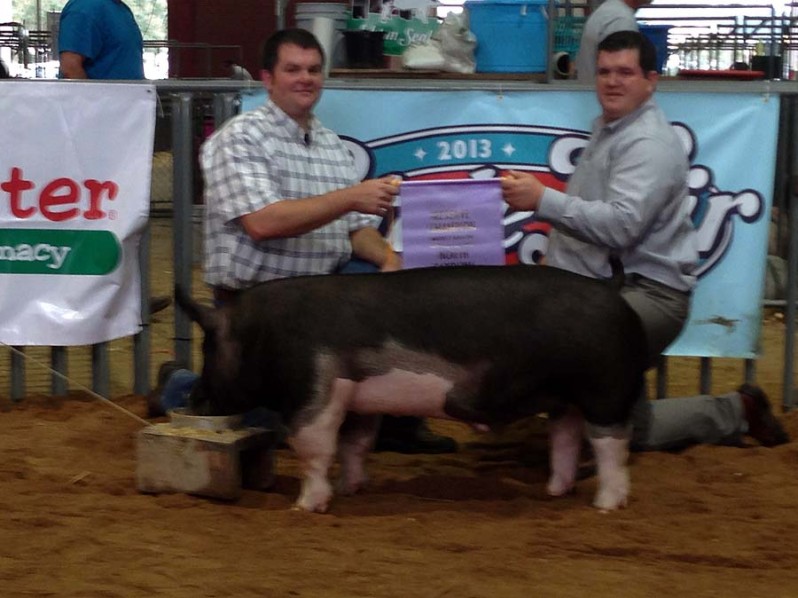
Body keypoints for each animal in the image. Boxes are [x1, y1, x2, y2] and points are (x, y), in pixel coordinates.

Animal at [177, 266, 648, 516]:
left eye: (209, 345)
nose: (192, 400)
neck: (261, 334)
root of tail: (611, 288)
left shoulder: (317, 391)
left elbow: (314, 448)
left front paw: (305, 507)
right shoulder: (361, 398)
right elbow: (355, 444)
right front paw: (351, 490)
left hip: (604, 391)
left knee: (611, 446)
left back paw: (607, 505)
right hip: (566, 399)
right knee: (566, 438)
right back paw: (554, 492)